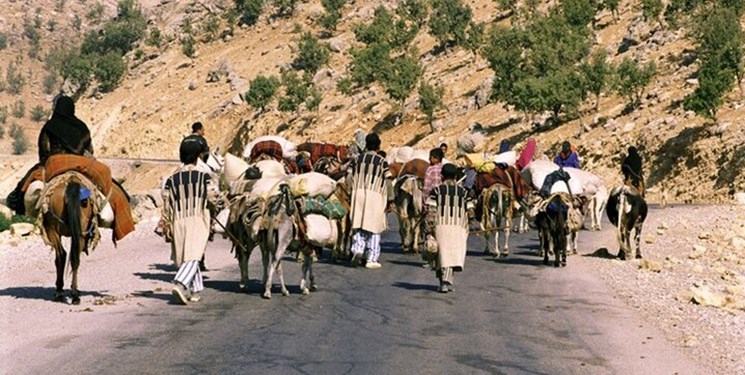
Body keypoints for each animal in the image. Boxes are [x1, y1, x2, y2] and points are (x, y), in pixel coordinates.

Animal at [42, 177, 96, 306]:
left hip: (53, 229)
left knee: (62, 255)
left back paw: (60, 292)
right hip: (80, 231)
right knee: (74, 258)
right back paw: (75, 295)